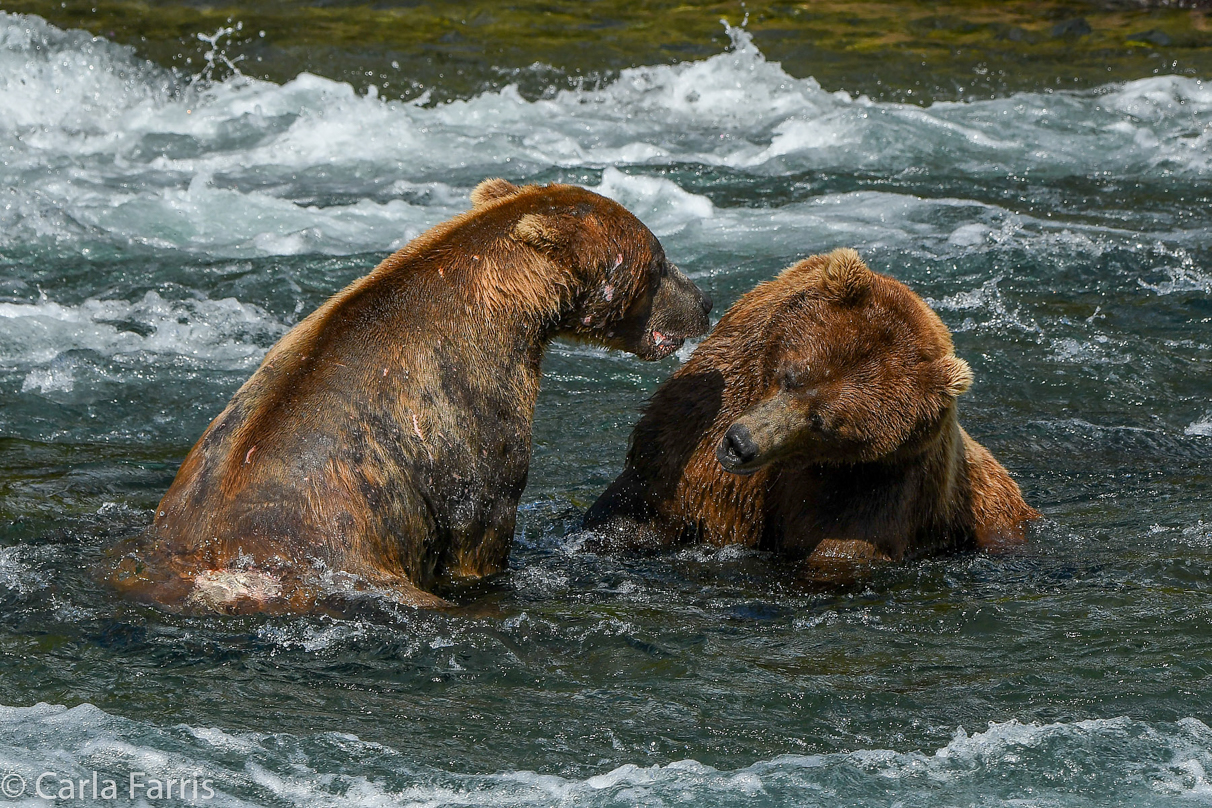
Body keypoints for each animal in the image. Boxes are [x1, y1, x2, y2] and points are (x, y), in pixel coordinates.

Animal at [581, 248, 1037, 574]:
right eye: (791, 376)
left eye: (824, 423)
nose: (741, 444)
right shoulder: (712, 409)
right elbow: (658, 493)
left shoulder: (873, 481)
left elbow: (839, 550)